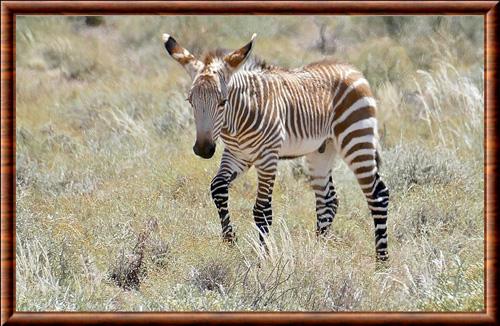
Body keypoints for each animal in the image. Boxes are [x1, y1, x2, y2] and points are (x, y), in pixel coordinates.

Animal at [162, 33, 388, 262]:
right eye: (190, 101)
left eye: (222, 102)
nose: (203, 149)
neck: (237, 122)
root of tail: (353, 69)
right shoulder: (237, 155)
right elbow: (217, 187)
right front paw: (230, 240)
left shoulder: (267, 158)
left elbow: (262, 210)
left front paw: (264, 257)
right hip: (322, 150)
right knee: (328, 200)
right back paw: (318, 251)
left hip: (356, 138)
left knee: (378, 194)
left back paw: (382, 262)